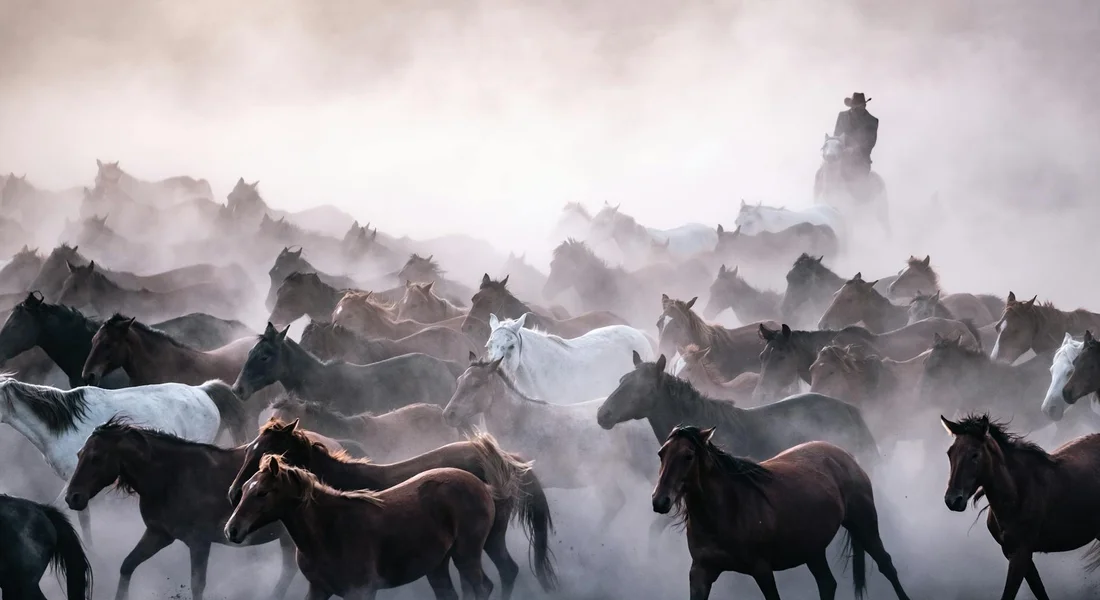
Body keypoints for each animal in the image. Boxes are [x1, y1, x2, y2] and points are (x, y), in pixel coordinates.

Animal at [65, 418, 297, 600]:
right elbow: (127, 565)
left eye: (96, 458)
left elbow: (197, 585)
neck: (171, 477)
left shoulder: (199, 543)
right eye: (78, 454)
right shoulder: (158, 534)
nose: (72, 497)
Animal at [227, 455, 497, 600]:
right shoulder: (318, 589)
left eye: (262, 492)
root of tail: (482, 486)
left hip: (466, 556)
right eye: (246, 489)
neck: (328, 532)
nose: (232, 530)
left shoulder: (360, 591)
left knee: (484, 586)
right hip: (438, 565)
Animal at [652, 426, 909, 600]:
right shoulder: (700, 572)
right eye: (661, 453)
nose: (660, 501)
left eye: (688, 456)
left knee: (886, 565)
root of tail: (845, 456)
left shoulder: (762, 570)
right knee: (827, 583)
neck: (726, 511)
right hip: (813, 549)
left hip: (863, 525)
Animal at [942, 413, 1100, 600]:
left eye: (975, 455)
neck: (1017, 494)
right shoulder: (1014, 553)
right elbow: (1039, 591)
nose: (952, 500)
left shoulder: (1021, 555)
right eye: (950, 453)